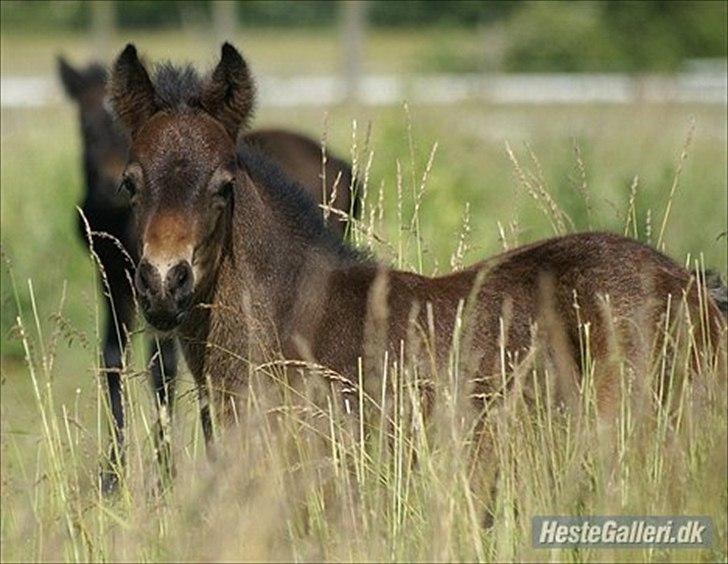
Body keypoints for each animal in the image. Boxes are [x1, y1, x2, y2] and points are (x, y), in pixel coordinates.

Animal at [58, 56, 361, 491]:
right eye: (84, 123)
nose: (108, 186)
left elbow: (162, 370)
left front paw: (164, 474)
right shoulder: (116, 278)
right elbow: (113, 358)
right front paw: (112, 476)